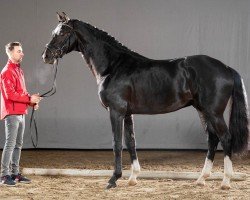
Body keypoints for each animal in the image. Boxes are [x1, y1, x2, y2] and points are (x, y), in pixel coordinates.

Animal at [42, 12, 249, 189]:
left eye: (62, 33)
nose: (46, 56)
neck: (113, 66)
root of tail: (226, 67)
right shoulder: (127, 113)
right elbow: (131, 142)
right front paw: (133, 178)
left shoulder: (115, 112)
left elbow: (117, 143)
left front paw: (113, 180)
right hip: (203, 110)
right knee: (212, 139)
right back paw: (201, 179)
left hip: (214, 112)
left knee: (225, 138)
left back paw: (225, 181)